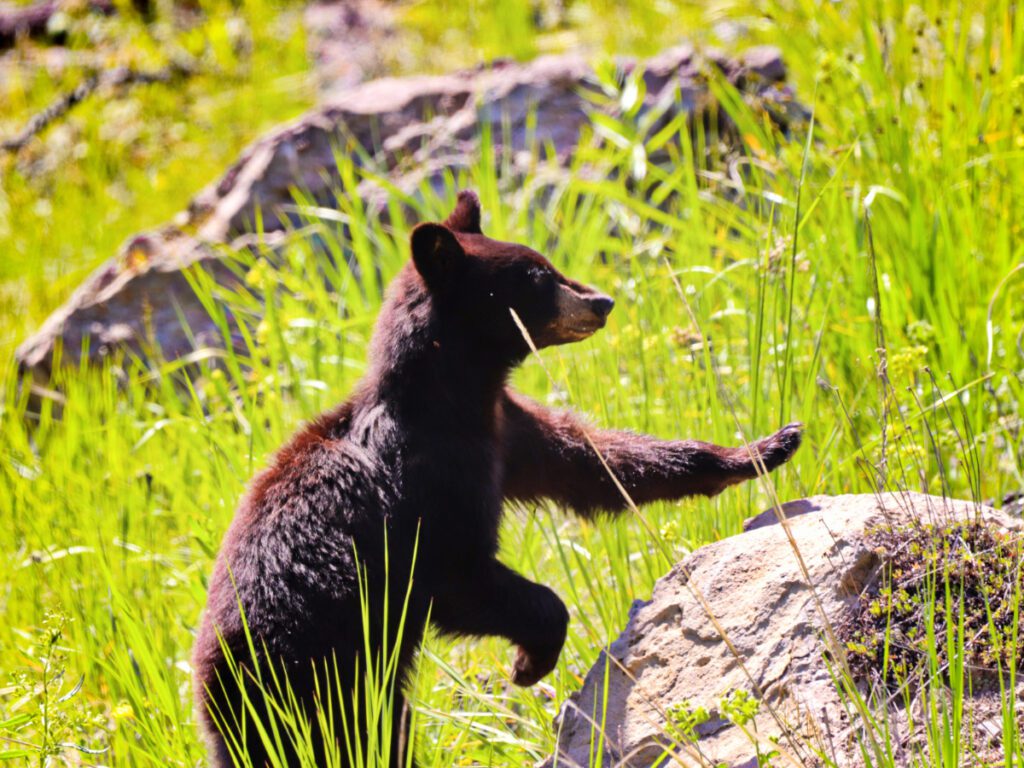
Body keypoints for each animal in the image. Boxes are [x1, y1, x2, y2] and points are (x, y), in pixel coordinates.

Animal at [190, 188, 798, 768]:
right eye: (537, 276)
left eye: (548, 263)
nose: (602, 301)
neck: (452, 397)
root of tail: (202, 682)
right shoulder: (424, 485)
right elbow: (461, 570)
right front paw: (530, 664)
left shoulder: (506, 431)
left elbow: (596, 464)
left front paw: (765, 447)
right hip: (305, 676)